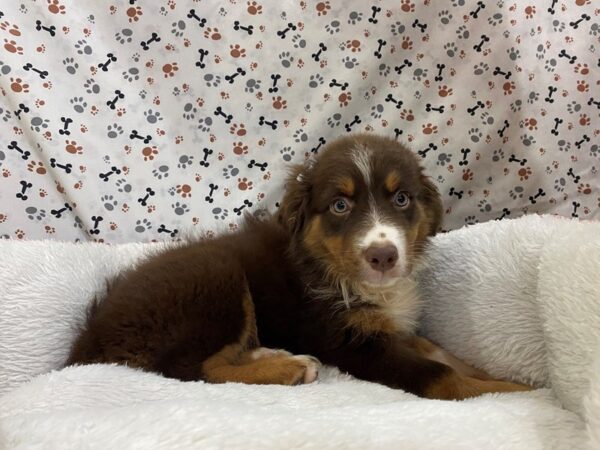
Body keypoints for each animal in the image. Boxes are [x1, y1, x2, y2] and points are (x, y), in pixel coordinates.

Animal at [65, 134, 528, 400]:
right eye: (340, 205)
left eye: (401, 199)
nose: (383, 256)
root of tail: (91, 335)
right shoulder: (349, 343)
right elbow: (441, 375)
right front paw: (514, 394)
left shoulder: (385, 328)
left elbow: (446, 355)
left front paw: (515, 380)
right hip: (217, 277)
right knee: (192, 367)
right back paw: (289, 368)